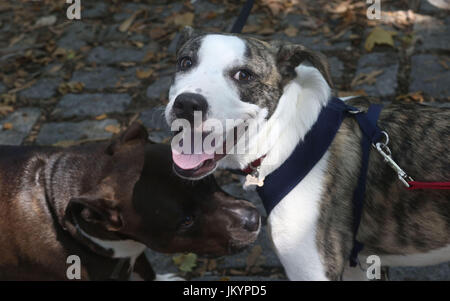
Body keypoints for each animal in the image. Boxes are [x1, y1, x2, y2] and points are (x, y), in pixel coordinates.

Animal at [165, 27, 450, 278]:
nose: (187, 104)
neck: (287, 138)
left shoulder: (312, 266)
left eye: (243, 75)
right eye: (185, 62)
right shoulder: (354, 266)